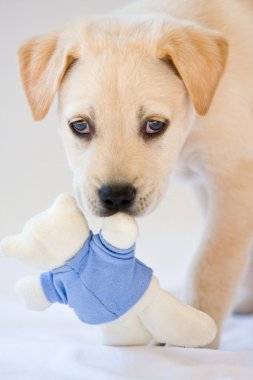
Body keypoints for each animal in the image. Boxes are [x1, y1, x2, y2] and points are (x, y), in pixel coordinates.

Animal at [16, 0, 252, 346]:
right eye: (80, 125)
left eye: (155, 125)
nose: (115, 197)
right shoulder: (209, 185)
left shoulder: (233, 177)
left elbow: (212, 263)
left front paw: (197, 338)